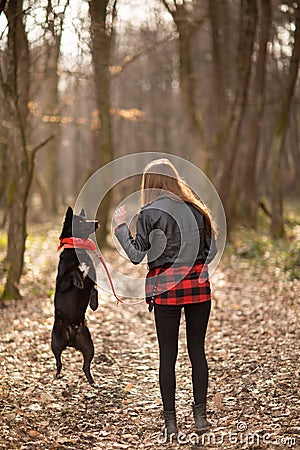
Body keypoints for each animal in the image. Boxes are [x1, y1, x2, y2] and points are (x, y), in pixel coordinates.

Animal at [51, 207, 98, 386]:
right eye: (81, 222)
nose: (97, 222)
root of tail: (71, 341)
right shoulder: (61, 284)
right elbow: (73, 273)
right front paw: (78, 281)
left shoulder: (92, 277)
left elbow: (94, 287)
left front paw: (94, 303)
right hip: (55, 342)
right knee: (58, 362)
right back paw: (58, 374)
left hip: (89, 345)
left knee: (85, 366)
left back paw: (92, 382)